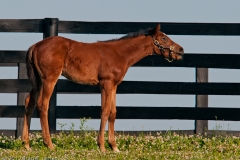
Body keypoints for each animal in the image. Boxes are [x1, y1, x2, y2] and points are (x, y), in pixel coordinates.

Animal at [22, 23, 184, 151]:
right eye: (164, 38)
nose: (181, 50)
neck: (119, 54)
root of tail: (35, 46)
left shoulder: (114, 86)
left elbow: (113, 112)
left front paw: (114, 146)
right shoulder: (106, 83)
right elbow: (105, 111)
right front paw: (102, 146)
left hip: (38, 81)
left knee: (29, 102)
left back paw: (26, 144)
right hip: (49, 79)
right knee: (43, 104)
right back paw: (49, 144)